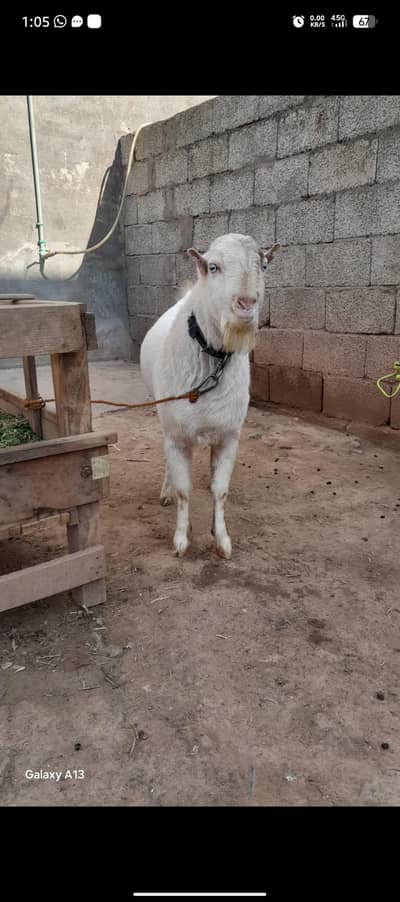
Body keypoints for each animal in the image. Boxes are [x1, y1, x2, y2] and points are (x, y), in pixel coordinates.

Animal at [140, 233, 279, 559]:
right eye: (213, 267)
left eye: (264, 266)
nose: (246, 305)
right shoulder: (177, 435)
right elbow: (183, 491)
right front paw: (181, 539)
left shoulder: (229, 436)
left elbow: (221, 491)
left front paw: (222, 538)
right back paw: (165, 491)